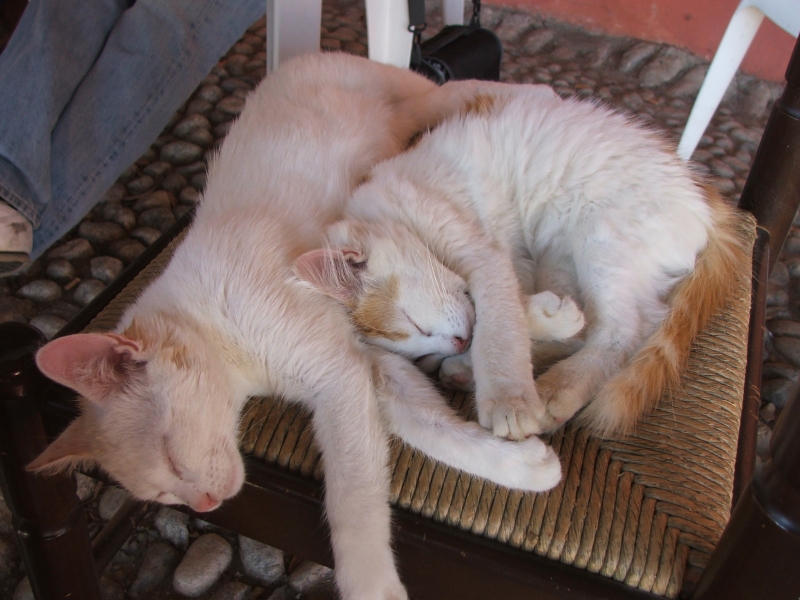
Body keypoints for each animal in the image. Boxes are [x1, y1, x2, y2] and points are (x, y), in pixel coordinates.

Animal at [28, 53, 561, 600]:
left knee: (450, 88)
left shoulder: (338, 377)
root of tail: (301, 59)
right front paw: (526, 466)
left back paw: (531, 95)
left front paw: (372, 585)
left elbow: (353, 504)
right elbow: (435, 431)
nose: (204, 506)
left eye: (172, 458)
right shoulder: (367, 364)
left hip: (408, 102)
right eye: (161, 493)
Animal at [296, 84, 750, 439]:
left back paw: (556, 388)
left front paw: (508, 399)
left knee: (624, 330)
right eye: (417, 354)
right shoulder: (516, 265)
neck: (392, 212)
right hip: (561, 255)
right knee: (591, 325)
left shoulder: (481, 252)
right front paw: (523, 330)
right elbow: (507, 314)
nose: (453, 345)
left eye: (414, 324)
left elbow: (498, 324)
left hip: (603, 238)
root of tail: (702, 194)